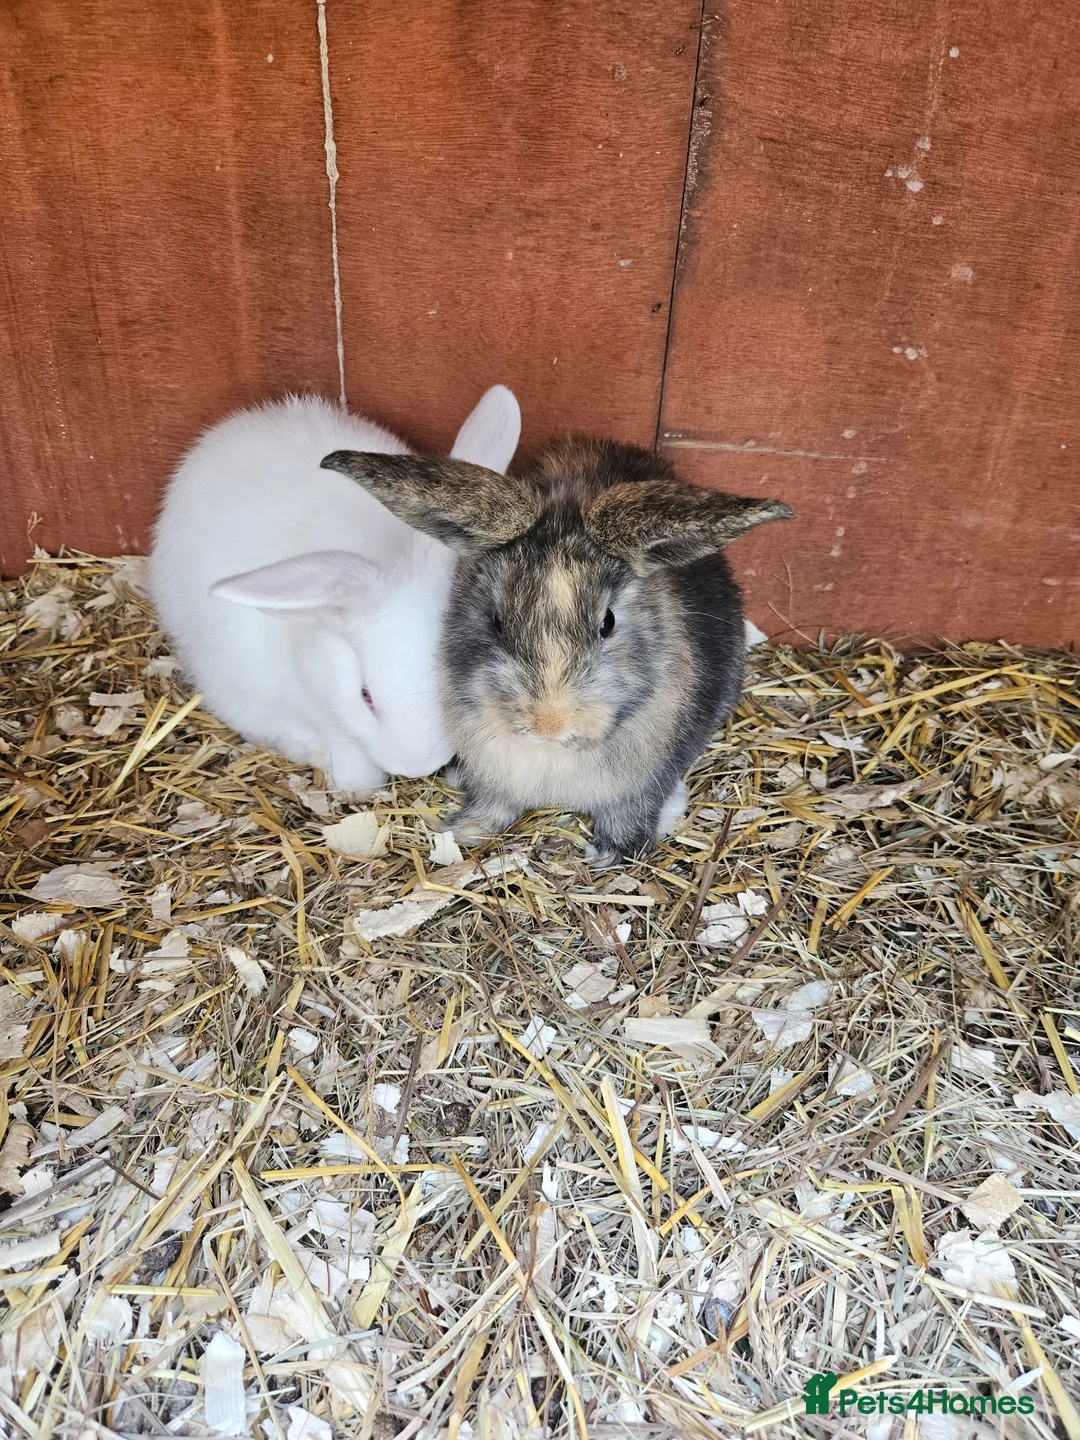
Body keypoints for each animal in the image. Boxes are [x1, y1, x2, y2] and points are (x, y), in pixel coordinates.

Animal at [318, 434, 792, 859]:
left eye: (608, 622)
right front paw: (464, 830)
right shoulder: (494, 779)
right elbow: (493, 805)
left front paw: (614, 855)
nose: (549, 724)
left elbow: (628, 815)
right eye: (497, 621)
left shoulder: (641, 785)